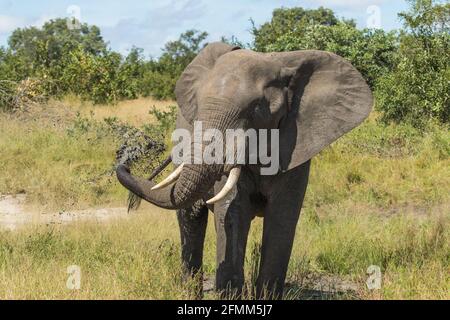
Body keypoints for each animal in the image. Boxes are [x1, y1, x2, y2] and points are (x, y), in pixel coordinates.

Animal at [117, 42, 372, 298]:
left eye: (256, 109)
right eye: (198, 106)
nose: (125, 160)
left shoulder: (295, 147)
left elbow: (282, 219)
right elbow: (232, 212)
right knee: (191, 217)